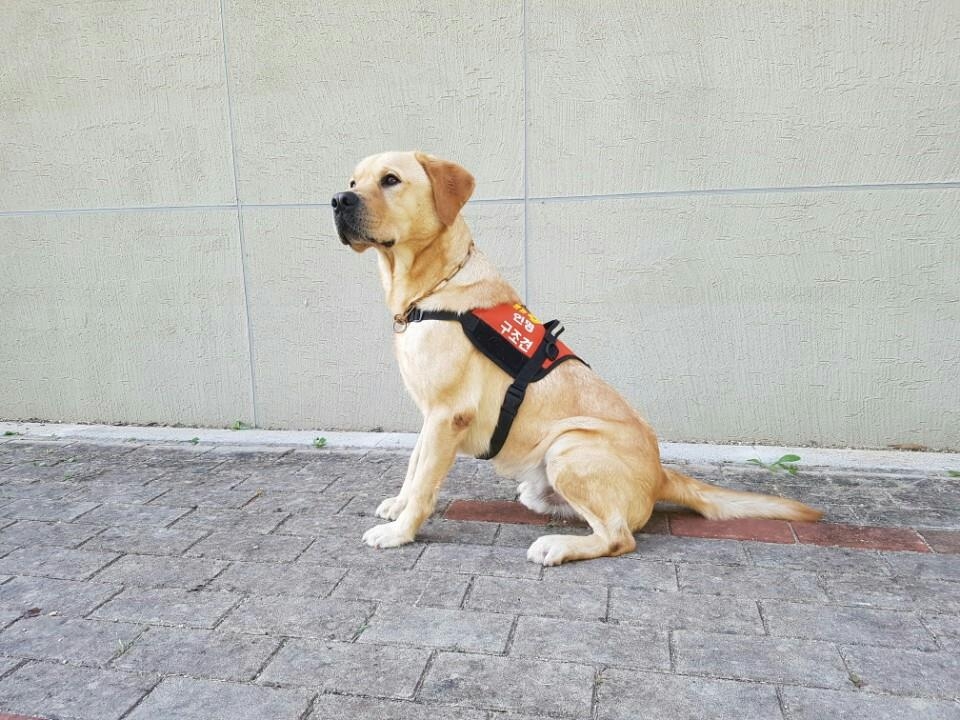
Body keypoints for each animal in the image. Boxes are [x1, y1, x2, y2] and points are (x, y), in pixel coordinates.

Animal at [334, 153, 820, 568]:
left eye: (391, 180)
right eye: (353, 182)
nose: (338, 200)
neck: (430, 288)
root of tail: (661, 474)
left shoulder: (448, 413)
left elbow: (424, 484)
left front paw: (400, 532)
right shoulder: (430, 413)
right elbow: (414, 467)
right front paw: (397, 507)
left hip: (570, 447)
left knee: (619, 536)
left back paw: (558, 546)